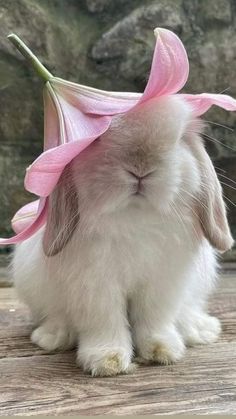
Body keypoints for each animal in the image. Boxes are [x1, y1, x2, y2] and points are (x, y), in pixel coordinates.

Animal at [12, 95, 233, 378]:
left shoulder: (163, 283)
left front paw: (162, 351)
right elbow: (104, 320)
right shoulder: (95, 285)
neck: (134, 218)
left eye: (180, 138)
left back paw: (200, 329)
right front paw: (107, 361)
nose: (141, 168)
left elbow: (155, 317)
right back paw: (53, 337)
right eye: (96, 139)